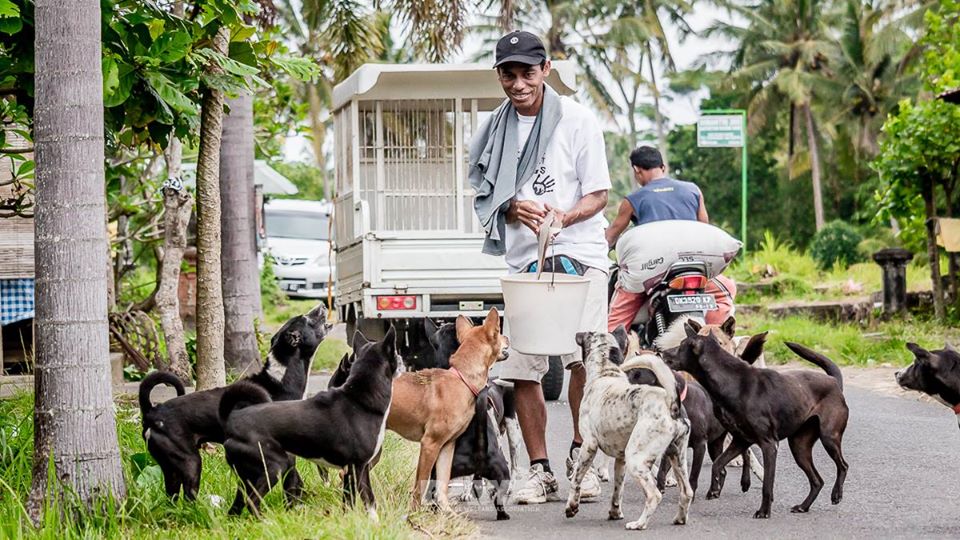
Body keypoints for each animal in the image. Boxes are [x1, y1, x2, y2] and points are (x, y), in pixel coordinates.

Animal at [135, 304, 330, 498]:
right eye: (306, 319)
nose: (322, 305)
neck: (281, 379)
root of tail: (151, 412)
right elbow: (292, 482)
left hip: (172, 469)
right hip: (190, 462)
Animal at [218, 326, 398, 516]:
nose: (402, 359)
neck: (358, 399)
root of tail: (232, 420)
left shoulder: (359, 470)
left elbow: (364, 501)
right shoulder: (355, 468)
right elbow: (354, 501)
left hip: (246, 477)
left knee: (237, 506)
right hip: (274, 467)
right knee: (252, 501)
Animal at [388, 308, 510, 510]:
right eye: (499, 333)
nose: (507, 337)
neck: (461, 378)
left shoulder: (446, 447)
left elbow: (442, 486)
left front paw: (445, 511)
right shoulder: (430, 445)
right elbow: (420, 487)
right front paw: (415, 512)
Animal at [564, 332, 688, 528]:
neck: (605, 373)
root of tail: (671, 404)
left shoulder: (589, 446)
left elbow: (576, 479)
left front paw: (571, 506)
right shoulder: (620, 459)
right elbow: (618, 490)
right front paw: (615, 513)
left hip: (636, 460)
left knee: (654, 495)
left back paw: (639, 524)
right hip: (678, 458)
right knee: (687, 492)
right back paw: (680, 518)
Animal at [668, 324, 848, 520]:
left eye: (681, 346)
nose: (662, 352)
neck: (730, 379)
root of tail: (834, 381)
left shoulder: (769, 445)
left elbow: (767, 485)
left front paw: (764, 511)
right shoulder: (741, 440)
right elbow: (717, 465)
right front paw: (715, 489)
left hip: (829, 437)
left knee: (843, 466)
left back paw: (836, 494)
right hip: (799, 446)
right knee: (817, 481)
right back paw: (803, 506)